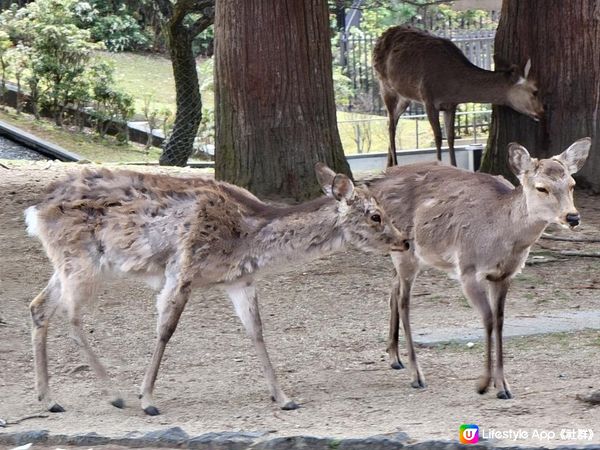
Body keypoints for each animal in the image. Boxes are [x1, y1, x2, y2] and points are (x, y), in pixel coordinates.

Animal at [24, 163, 408, 416]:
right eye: (375, 215)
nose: (404, 240)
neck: (246, 236)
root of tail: (34, 211)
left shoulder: (240, 281)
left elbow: (256, 331)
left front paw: (284, 398)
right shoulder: (183, 267)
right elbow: (165, 330)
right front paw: (148, 399)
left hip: (65, 261)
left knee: (39, 306)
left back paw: (49, 399)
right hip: (83, 260)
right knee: (71, 314)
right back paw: (114, 394)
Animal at [366, 139, 592, 400]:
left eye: (572, 184)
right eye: (541, 188)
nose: (572, 217)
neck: (502, 238)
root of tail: (376, 182)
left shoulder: (504, 275)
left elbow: (500, 320)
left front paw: (503, 385)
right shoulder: (468, 269)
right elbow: (488, 319)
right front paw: (485, 383)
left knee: (393, 287)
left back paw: (395, 358)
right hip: (406, 253)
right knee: (404, 301)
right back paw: (417, 375)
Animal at [372, 24, 548, 166]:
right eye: (535, 90)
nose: (542, 111)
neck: (451, 86)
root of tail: (380, 38)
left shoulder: (451, 105)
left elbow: (450, 138)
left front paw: (454, 166)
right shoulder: (428, 98)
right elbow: (438, 137)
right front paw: (439, 164)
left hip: (405, 97)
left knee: (393, 121)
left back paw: (389, 164)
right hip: (384, 85)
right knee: (390, 125)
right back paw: (395, 164)